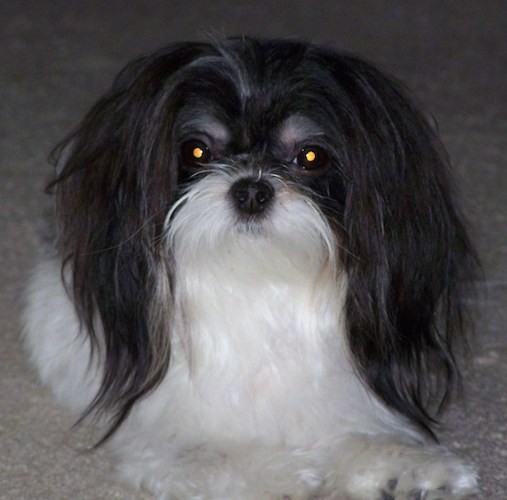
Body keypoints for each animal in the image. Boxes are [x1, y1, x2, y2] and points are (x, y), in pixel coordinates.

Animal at [24, 37, 480, 498]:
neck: (255, 280)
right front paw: (285, 474)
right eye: (196, 150)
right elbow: (214, 456)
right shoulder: (162, 442)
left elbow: (348, 434)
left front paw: (405, 467)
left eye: (310, 156)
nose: (251, 190)